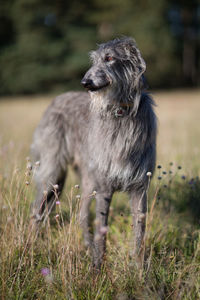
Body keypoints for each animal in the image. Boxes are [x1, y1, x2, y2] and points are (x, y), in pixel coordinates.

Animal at [30, 36, 157, 268]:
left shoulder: (140, 188)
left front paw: (140, 270)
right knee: (37, 209)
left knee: (81, 214)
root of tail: (55, 100)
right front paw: (98, 268)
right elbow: (101, 229)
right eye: (95, 60)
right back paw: (31, 244)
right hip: (53, 173)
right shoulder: (104, 186)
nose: (85, 82)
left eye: (109, 58)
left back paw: (86, 246)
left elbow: (139, 231)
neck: (120, 112)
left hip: (85, 179)